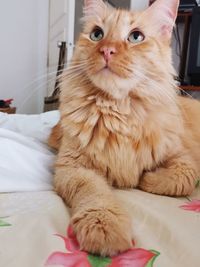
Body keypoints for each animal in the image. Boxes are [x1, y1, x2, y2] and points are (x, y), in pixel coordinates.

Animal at [49, 0, 200, 258]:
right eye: (97, 34)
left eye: (136, 36)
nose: (107, 50)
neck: (118, 112)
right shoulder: (73, 168)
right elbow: (94, 192)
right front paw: (105, 226)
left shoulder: (183, 157)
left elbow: (183, 178)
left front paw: (146, 179)